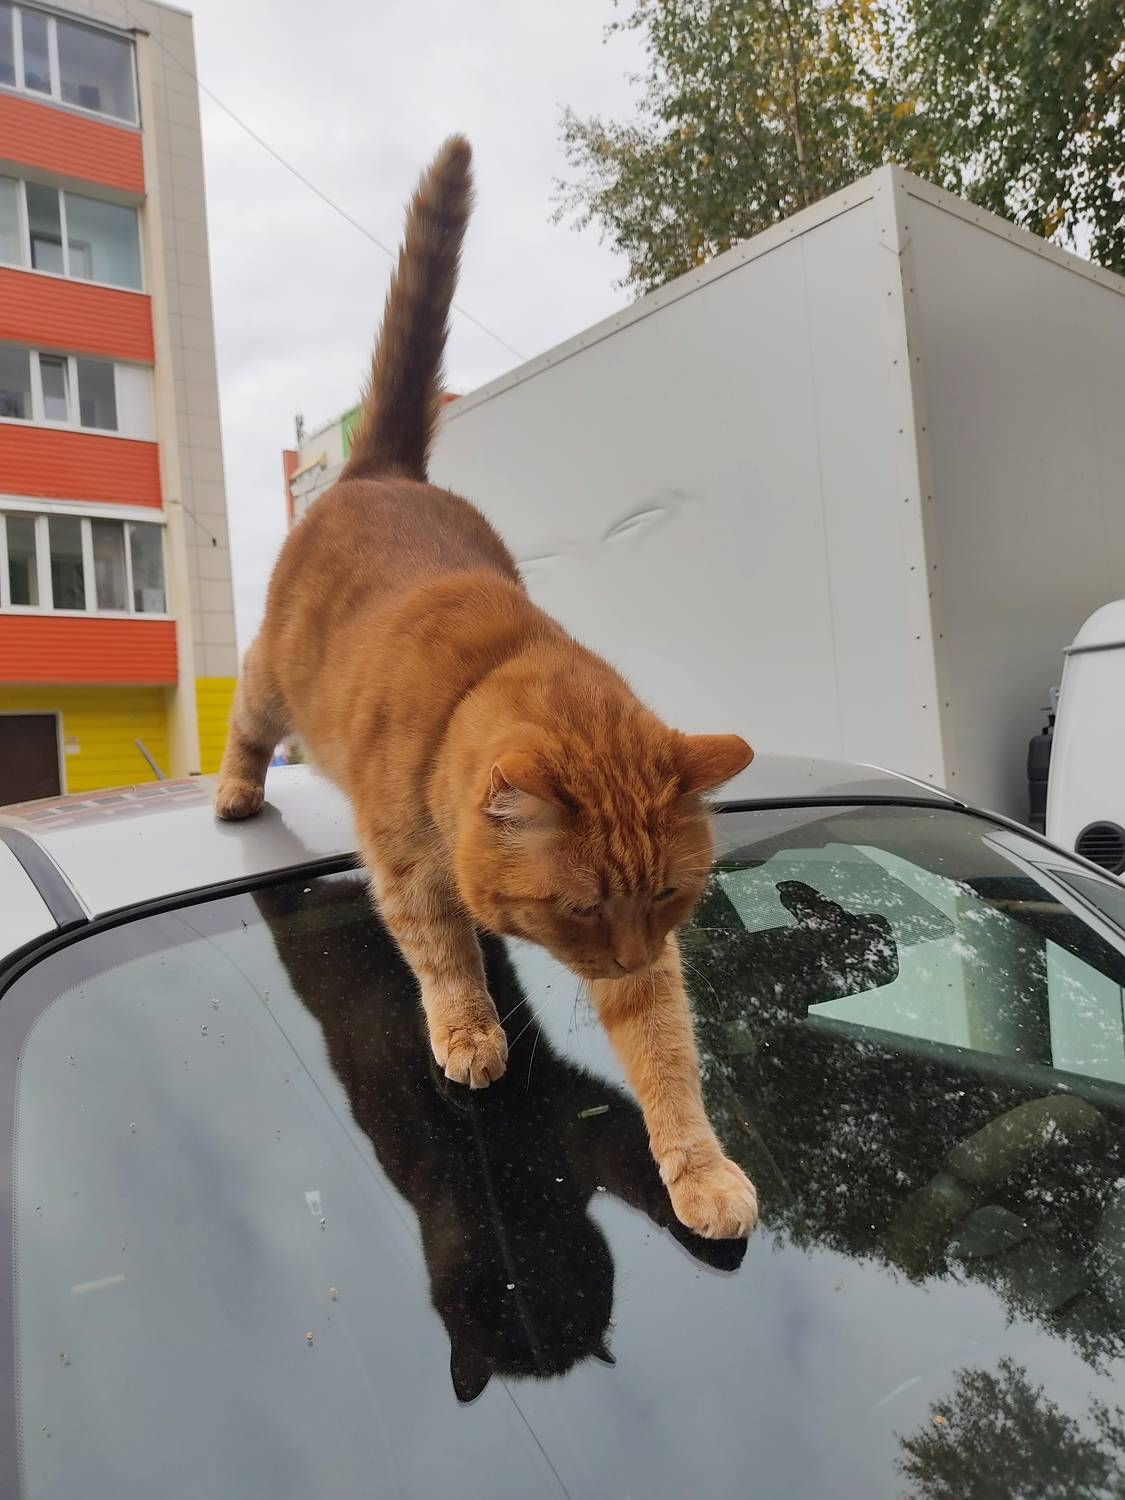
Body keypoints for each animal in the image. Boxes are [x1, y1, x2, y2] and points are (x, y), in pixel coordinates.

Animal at [215, 136, 758, 1240]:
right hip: (274, 685)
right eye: (583, 908)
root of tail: (377, 471)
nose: (623, 960)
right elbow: (442, 954)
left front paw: (698, 1169)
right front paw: (469, 1032)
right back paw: (238, 790)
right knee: (245, 715)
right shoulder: (407, 872)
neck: (482, 679)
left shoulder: (653, 973)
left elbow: (667, 1058)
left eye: (666, 897)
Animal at [253, 877, 744, 1402]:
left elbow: (637, 1142)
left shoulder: (573, 1121)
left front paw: (707, 1188)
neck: (516, 1196)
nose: (548, 1306)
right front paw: (463, 1045)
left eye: (577, 1289)